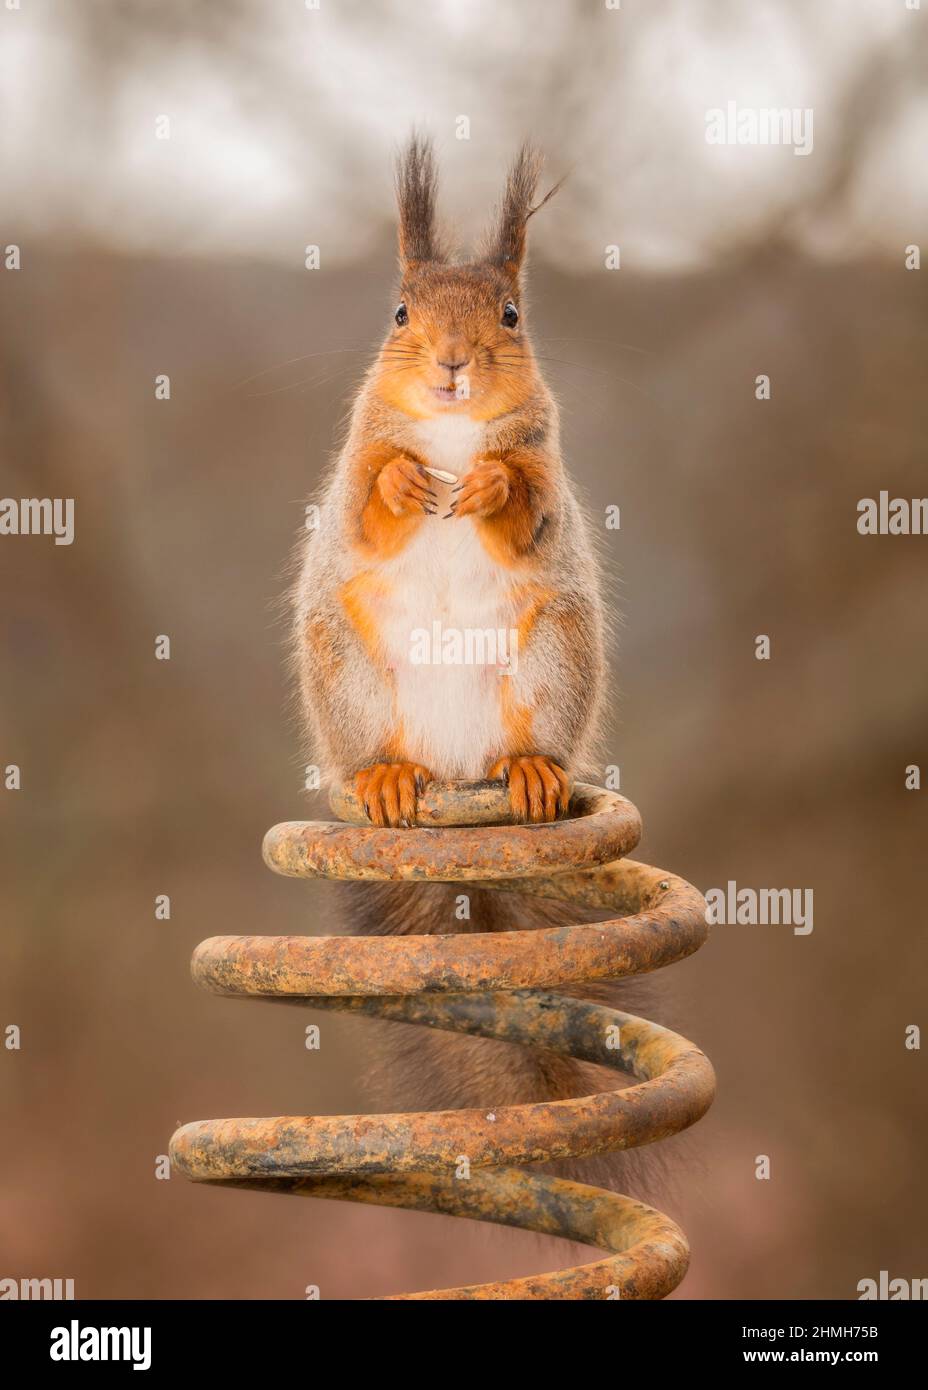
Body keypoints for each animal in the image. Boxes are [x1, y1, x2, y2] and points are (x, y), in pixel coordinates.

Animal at [293, 138, 650, 1173]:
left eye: (511, 314)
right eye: (400, 312)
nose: (453, 363)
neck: (451, 433)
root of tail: (457, 781)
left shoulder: (546, 471)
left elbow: (526, 510)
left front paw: (486, 487)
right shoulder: (354, 465)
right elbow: (367, 508)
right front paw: (407, 485)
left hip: (553, 659)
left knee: (530, 744)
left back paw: (530, 772)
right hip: (350, 679)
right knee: (378, 754)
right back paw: (384, 779)